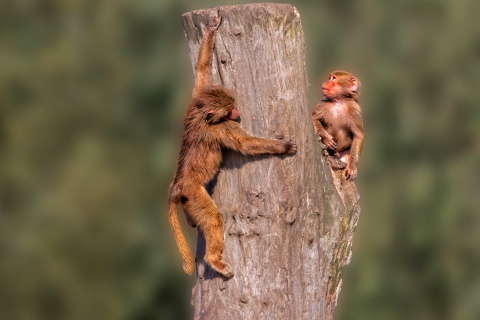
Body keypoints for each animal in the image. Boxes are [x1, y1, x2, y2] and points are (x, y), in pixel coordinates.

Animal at [168, 9, 296, 278]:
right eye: (229, 111)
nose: (238, 112)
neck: (201, 115)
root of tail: (177, 186)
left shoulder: (198, 96)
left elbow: (202, 70)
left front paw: (211, 28)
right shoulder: (221, 128)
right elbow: (244, 143)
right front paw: (283, 147)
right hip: (194, 195)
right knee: (213, 219)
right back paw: (215, 261)